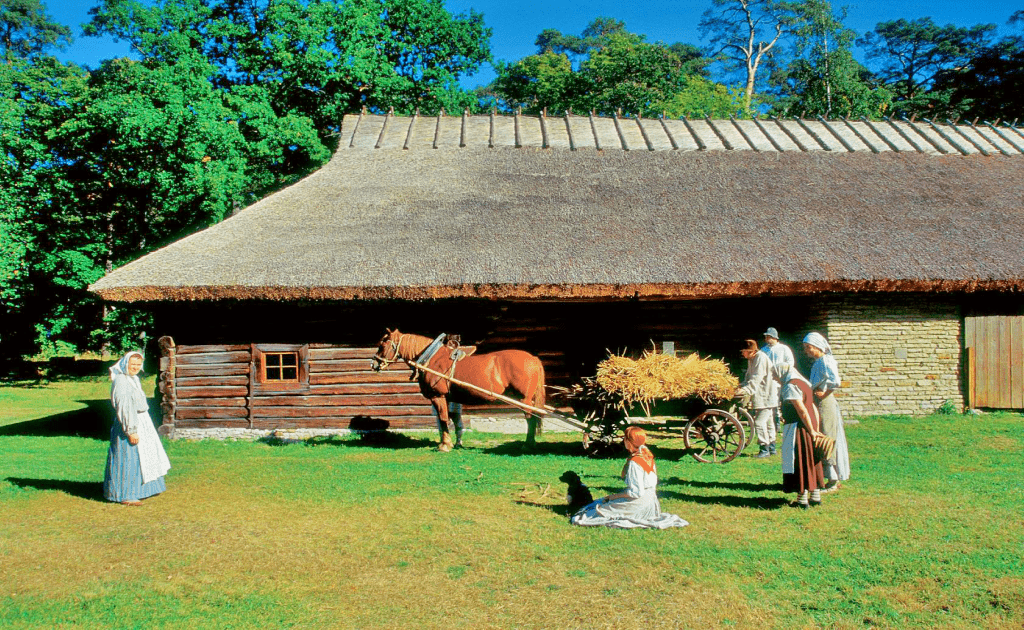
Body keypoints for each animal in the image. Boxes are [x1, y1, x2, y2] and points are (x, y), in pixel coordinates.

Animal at [368, 327, 544, 450]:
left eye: (383, 344)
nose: (374, 364)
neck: (431, 358)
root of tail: (533, 358)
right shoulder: (447, 398)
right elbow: (448, 419)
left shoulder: (438, 396)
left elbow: (443, 419)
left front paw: (444, 445)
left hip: (524, 399)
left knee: (531, 419)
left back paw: (528, 444)